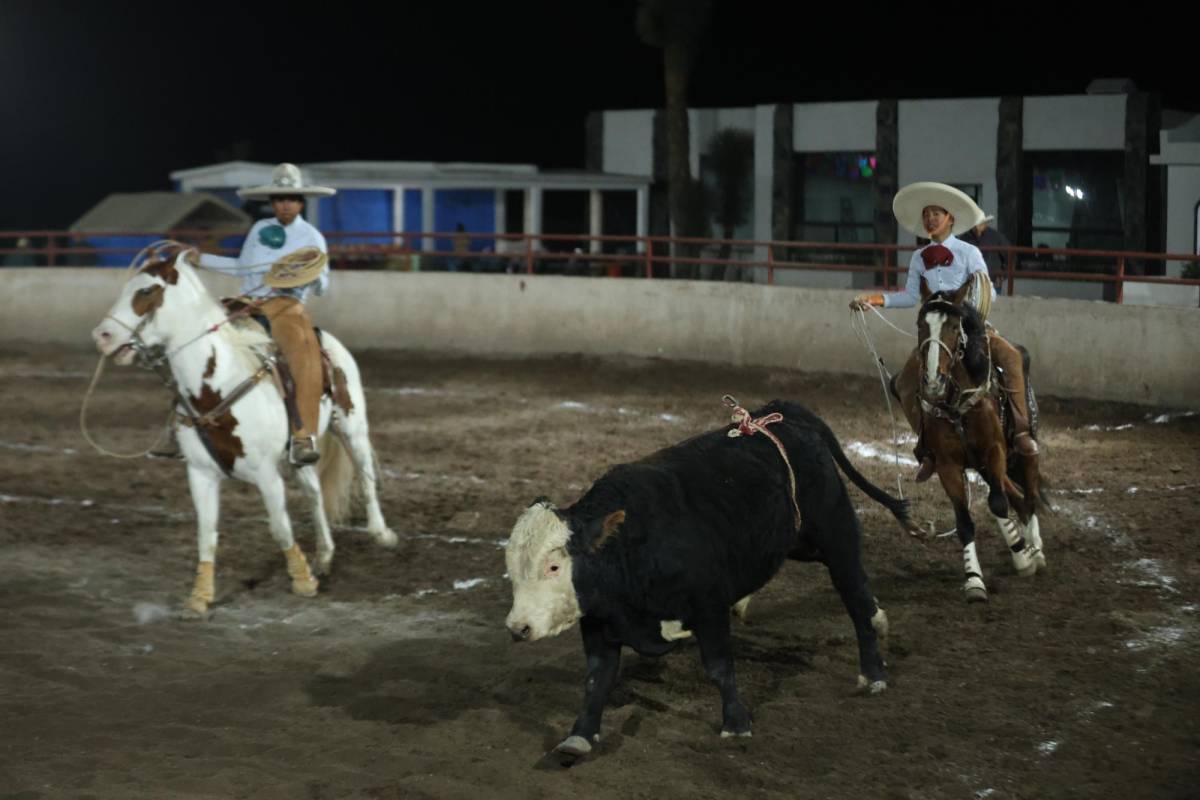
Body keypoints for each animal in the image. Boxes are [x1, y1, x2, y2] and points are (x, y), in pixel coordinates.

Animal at [92, 244, 398, 614]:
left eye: (147, 291)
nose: (102, 336)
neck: (218, 387)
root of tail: (327, 339)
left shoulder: (266, 474)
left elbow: (280, 528)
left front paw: (302, 582)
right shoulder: (201, 473)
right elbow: (206, 534)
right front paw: (200, 596)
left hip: (353, 426)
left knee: (366, 476)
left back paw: (380, 533)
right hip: (300, 455)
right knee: (315, 494)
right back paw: (324, 555)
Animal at [916, 280, 1041, 599]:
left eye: (952, 326)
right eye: (922, 325)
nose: (933, 382)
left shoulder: (993, 450)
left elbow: (997, 503)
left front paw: (1022, 557)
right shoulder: (948, 465)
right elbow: (964, 522)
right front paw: (973, 579)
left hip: (1023, 445)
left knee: (1030, 491)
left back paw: (1036, 547)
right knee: (1017, 496)